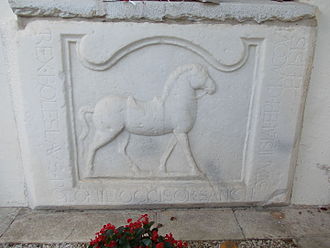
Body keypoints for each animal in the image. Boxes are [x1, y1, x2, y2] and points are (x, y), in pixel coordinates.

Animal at [78, 64, 215, 176]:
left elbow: (170, 149)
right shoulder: (181, 132)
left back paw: (138, 171)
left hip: (123, 133)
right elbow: (187, 152)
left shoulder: (177, 132)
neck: (176, 102)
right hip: (108, 132)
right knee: (92, 147)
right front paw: (197, 171)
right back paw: (89, 172)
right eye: (202, 75)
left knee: (121, 151)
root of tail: (95, 107)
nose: (213, 88)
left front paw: (161, 169)